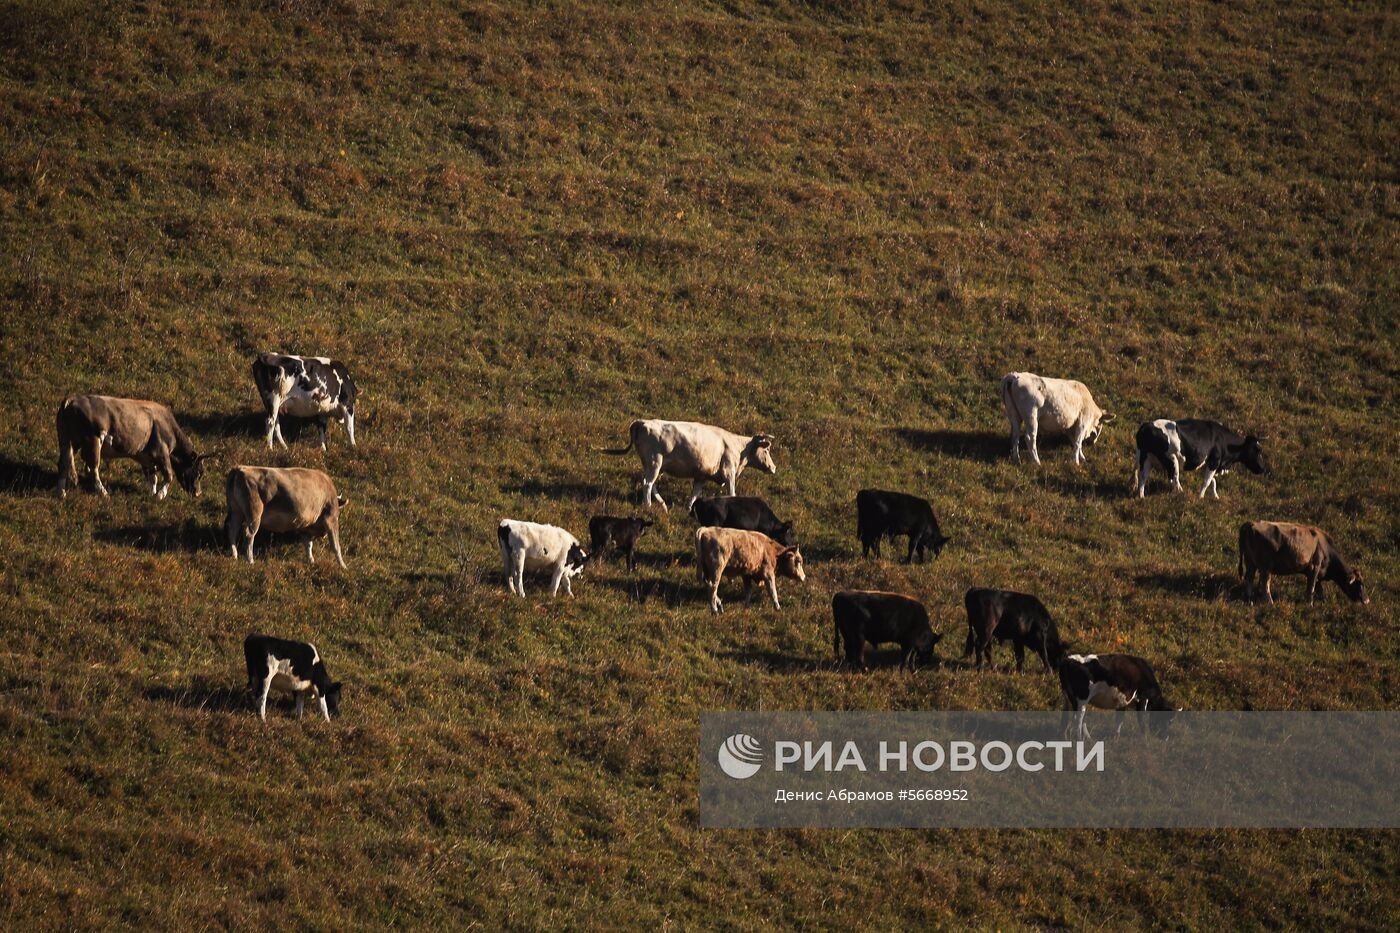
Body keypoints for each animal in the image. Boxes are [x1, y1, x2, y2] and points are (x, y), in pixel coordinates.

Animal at [602, 420, 778, 509]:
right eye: (767, 450)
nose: (774, 468)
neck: (738, 447)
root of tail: (643, 422)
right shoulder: (729, 472)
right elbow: (732, 493)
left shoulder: (702, 475)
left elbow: (695, 494)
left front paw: (689, 509)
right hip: (654, 462)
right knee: (647, 484)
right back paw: (649, 506)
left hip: (653, 465)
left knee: (652, 484)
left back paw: (663, 505)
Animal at [1136, 417, 1271, 498]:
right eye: (1257, 450)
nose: (1263, 469)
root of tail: (1147, 426)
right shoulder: (1214, 461)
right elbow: (1207, 481)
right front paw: (1200, 497)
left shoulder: (1210, 463)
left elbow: (1213, 481)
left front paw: (1215, 496)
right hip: (1171, 459)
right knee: (1174, 479)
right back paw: (1182, 493)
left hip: (1145, 457)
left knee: (1143, 476)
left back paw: (1141, 496)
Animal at [1237, 515, 1366, 602]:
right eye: (1359, 583)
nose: (1367, 600)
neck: (1324, 547)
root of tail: (1250, 524)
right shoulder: (1315, 566)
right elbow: (1311, 587)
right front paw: (1310, 604)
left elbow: (1318, 588)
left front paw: (1321, 601)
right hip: (1265, 567)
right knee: (1265, 584)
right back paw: (1270, 602)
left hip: (1250, 562)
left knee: (1249, 578)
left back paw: (1249, 598)